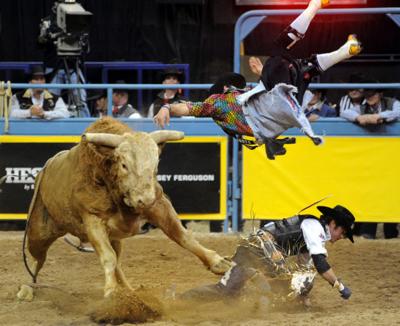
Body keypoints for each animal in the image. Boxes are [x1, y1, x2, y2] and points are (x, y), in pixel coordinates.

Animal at [22, 117, 231, 298]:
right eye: (124, 164)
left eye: (155, 165)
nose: (144, 199)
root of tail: (45, 169)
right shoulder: (93, 219)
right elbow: (108, 257)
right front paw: (111, 293)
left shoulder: (159, 205)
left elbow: (183, 236)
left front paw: (219, 263)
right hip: (39, 230)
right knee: (36, 258)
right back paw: (27, 288)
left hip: (115, 237)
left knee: (118, 261)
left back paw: (128, 290)